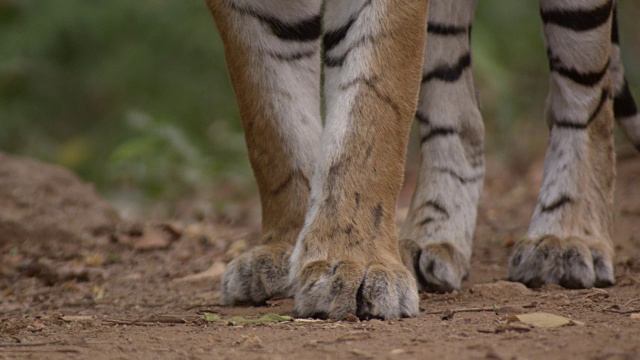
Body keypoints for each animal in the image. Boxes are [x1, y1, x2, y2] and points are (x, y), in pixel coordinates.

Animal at [205, 0, 640, 320]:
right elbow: (274, 124)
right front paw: (283, 251)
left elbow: (371, 107)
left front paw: (356, 265)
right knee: (463, 115)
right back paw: (430, 241)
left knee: (586, 100)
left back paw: (565, 239)